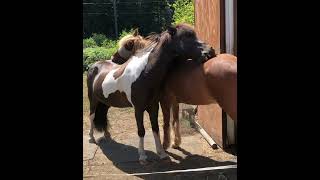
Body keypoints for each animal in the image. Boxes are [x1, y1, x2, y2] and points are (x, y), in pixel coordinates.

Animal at [86, 23, 214, 165]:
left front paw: (162, 153)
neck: (144, 73)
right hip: (93, 100)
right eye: (186, 36)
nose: (209, 51)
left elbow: (155, 128)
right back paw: (91, 137)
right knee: (91, 116)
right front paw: (142, 157)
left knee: (103, 114)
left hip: (105, 102)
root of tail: (94, 66)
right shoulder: (138, 109)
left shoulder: (153, 107)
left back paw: (107, 135)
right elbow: (141, 131)